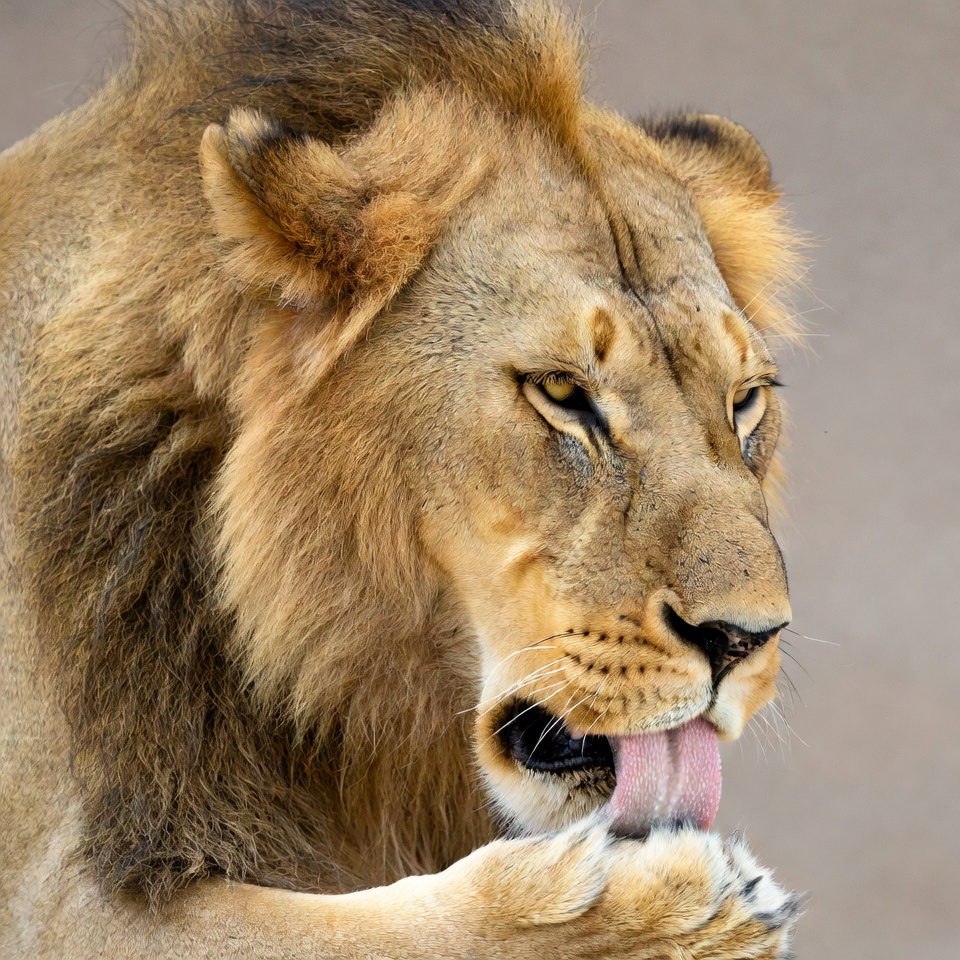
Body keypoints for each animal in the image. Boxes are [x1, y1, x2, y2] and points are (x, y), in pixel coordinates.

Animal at [0, 1, 806, 957]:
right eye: (562, 393)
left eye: (745, 400)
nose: (742, 640)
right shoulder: (53, 900)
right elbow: (360, 934)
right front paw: (661, 912)